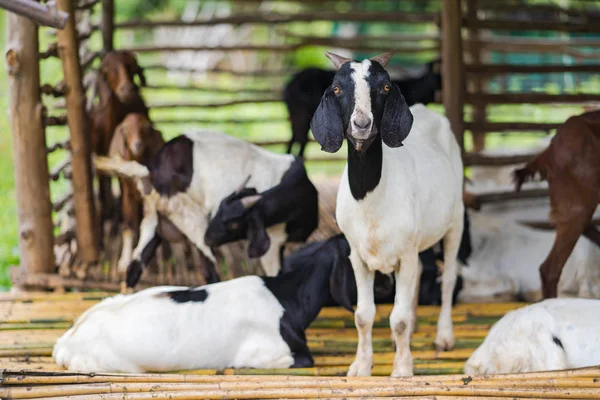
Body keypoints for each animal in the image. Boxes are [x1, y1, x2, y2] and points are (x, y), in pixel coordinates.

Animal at [91, 130, 316, 288]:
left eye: (233, 223)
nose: (210, 235)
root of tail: (152, 169)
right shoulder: (273, 241)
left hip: (154, 218)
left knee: (134, 267)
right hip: (189, 217)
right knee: (209, 271)